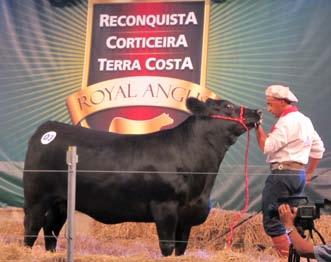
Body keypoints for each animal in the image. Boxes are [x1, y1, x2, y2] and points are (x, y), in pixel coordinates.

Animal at [22, 97, 262, 256]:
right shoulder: (164, 207)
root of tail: (48, 127)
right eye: (228, 106)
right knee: (32, 229)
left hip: (61, 202)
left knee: (51, 230)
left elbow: (181, 248)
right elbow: (167, 246)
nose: (258, 111)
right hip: (36, 198)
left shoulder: (188, 216)